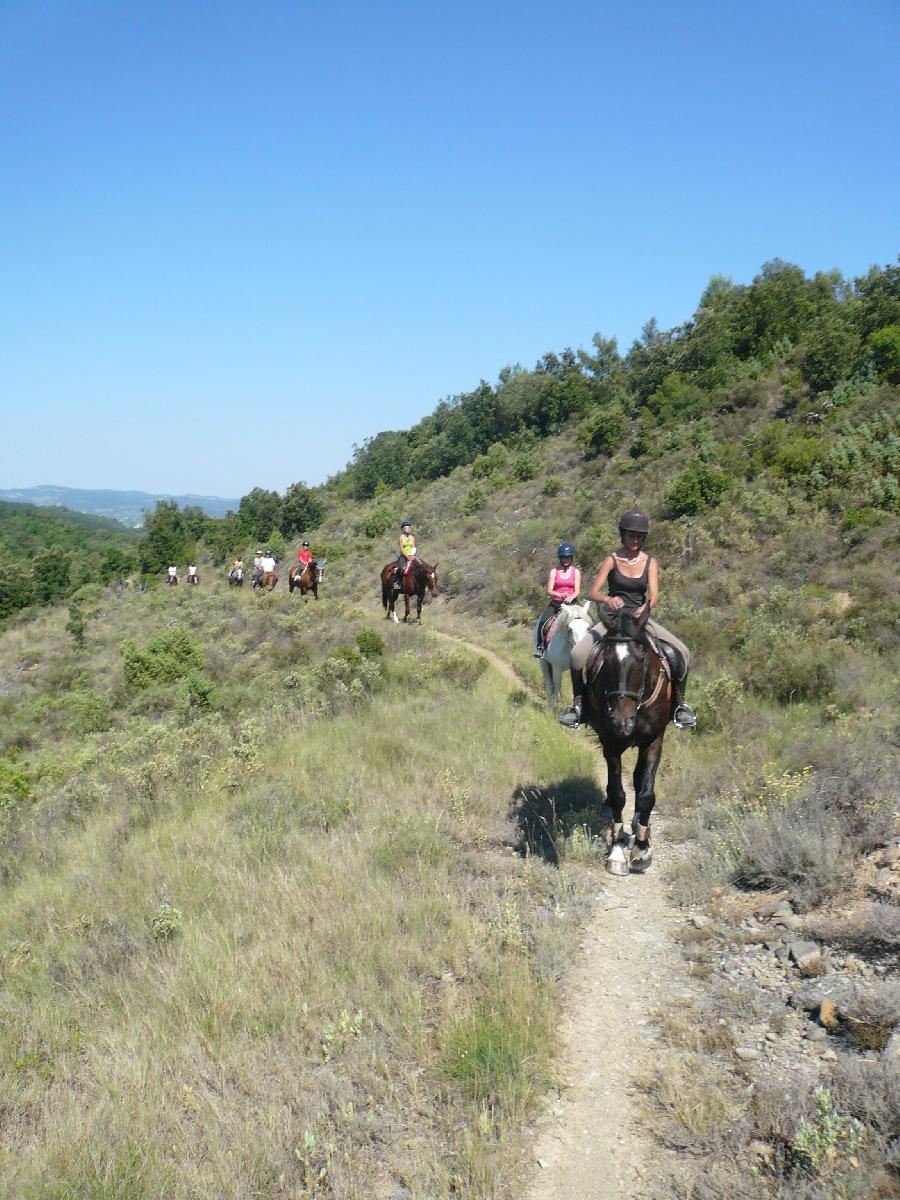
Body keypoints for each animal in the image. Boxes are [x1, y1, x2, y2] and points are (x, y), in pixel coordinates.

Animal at [580, 609, 672, 873]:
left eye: (641, 661)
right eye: (605, 662)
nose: (622, 721)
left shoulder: (654, 741)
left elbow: (646, 795)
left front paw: (641, 848)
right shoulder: (610, 744)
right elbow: (618, 795)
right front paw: (617, 850)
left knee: (640, 781)